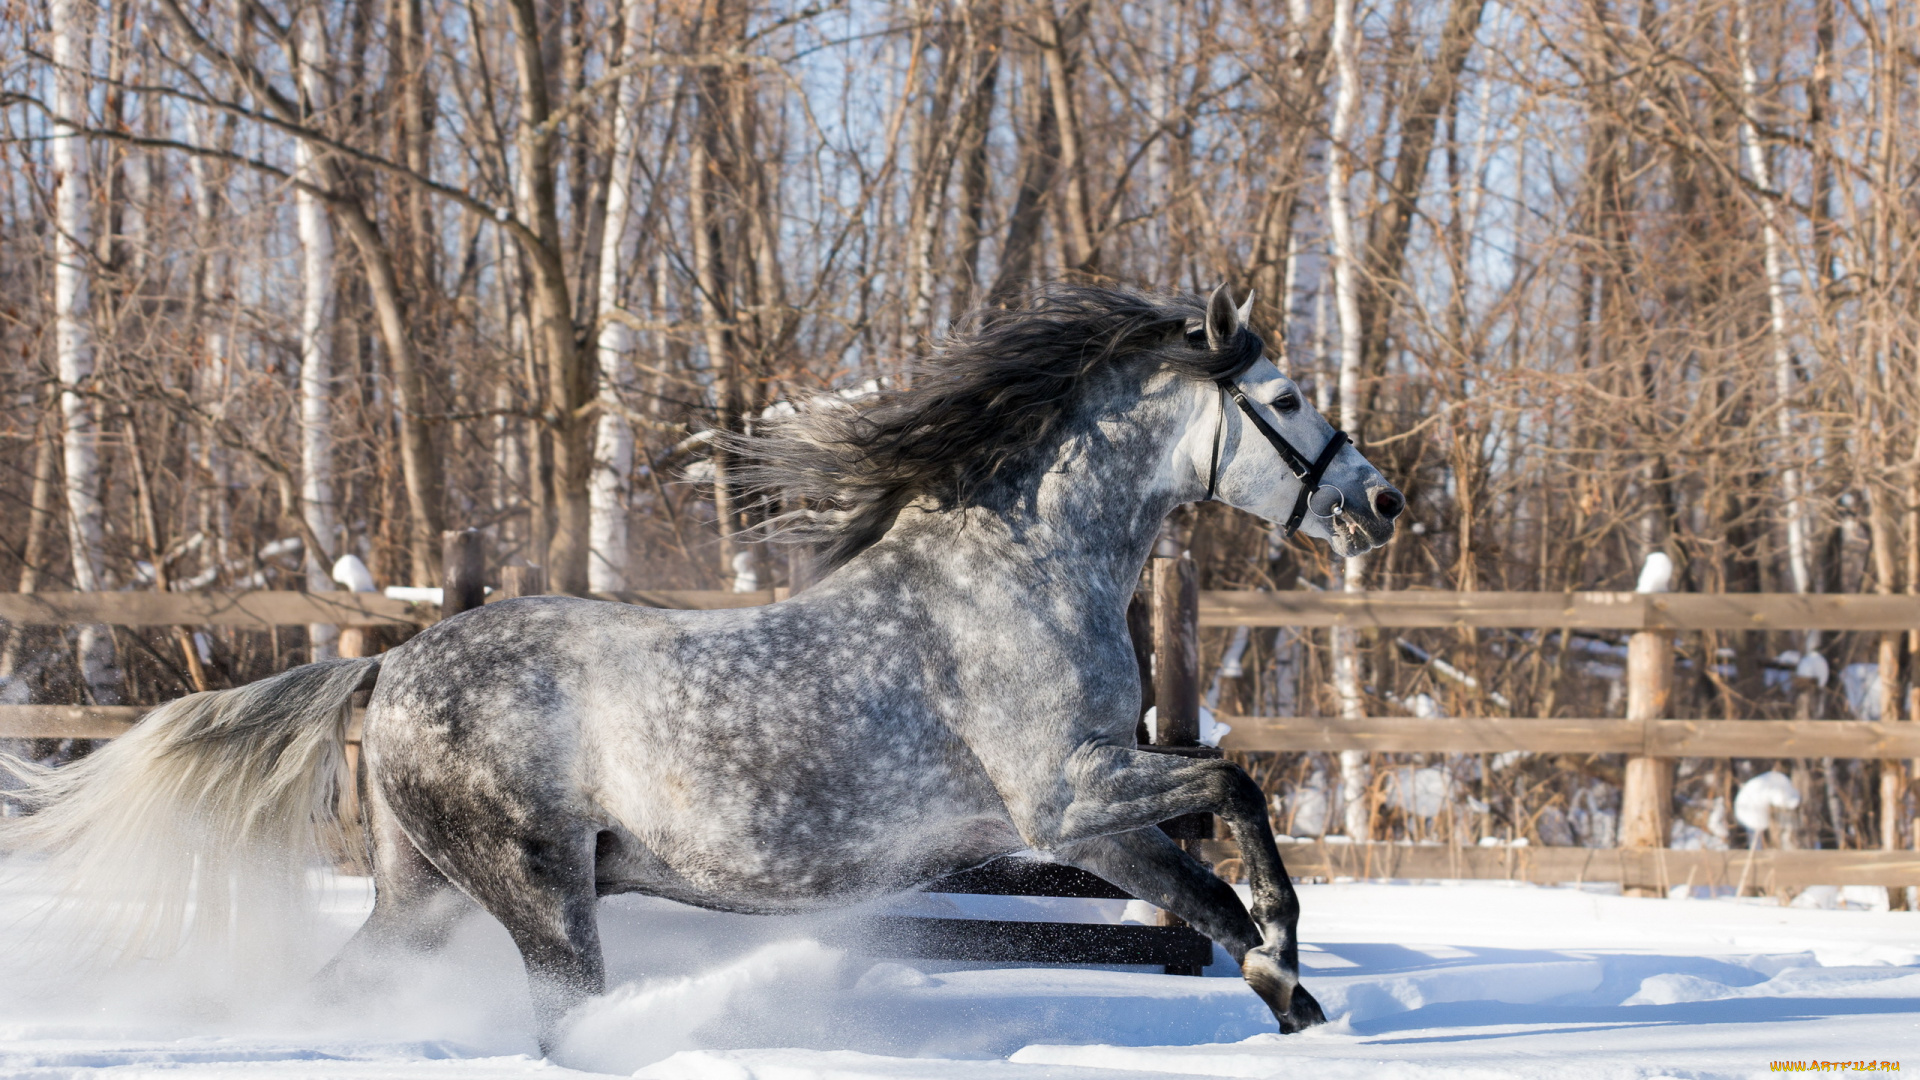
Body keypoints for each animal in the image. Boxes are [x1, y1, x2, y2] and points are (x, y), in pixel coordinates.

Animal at [7, 282, 1405, 1045]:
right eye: (1285, 399)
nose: (1382, 503)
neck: (1020, 574)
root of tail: (392, 670)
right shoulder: (1064, 795)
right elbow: (1236, 797)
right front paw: (1289, 955)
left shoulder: (1090, 822)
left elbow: (1203, 891)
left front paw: (1291, 998)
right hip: (540, 893)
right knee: (564, 1018)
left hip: (425, 894)